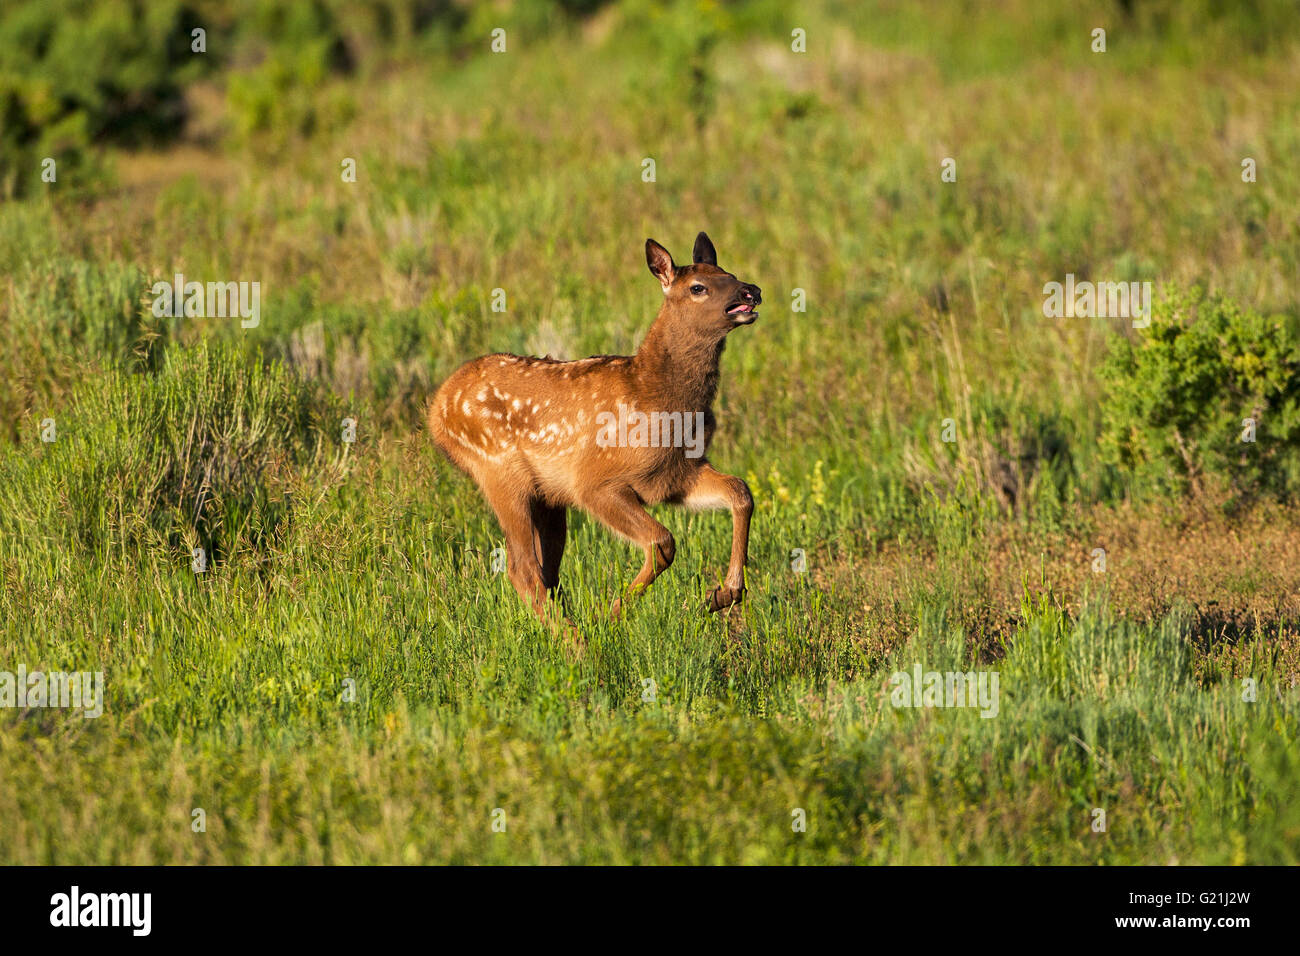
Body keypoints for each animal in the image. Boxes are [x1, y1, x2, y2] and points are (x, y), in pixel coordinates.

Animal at [426, 234, 759, 629]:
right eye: (697, 287)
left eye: (729, 273)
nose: (752, 290)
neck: (658, 396)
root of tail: (437, 408)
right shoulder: (594, 481)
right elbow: (662, 542)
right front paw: (609, 616)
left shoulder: (678, 473)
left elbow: (740, 490)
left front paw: (725, 593)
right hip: (499, 471)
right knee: (522, 568)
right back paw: (577, 639)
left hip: (547, 496)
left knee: (546, 569)